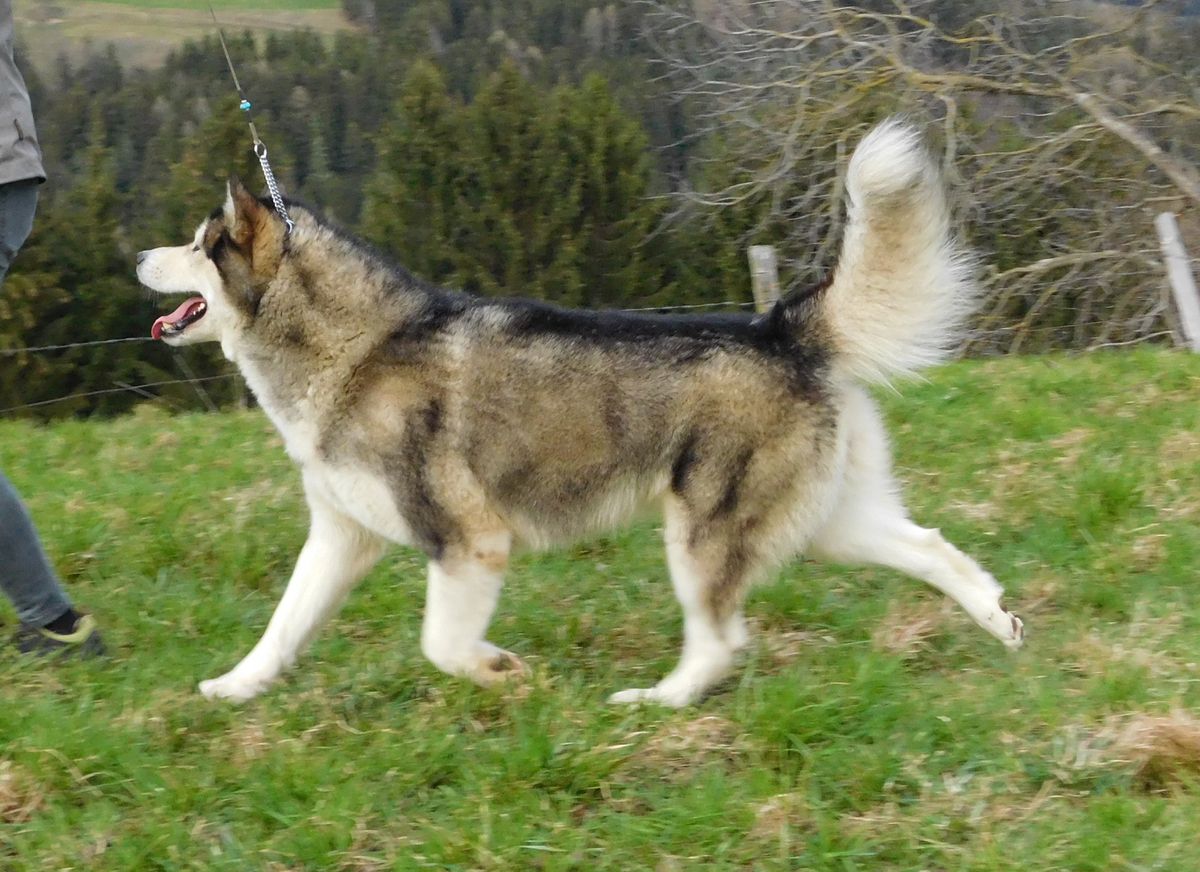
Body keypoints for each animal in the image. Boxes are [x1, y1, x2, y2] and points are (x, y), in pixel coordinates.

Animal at [136, 120, 1023, 707]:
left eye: (196, 244)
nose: (137, 255)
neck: (356, 348)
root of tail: (779, 328)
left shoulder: (470, 543)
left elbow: (441, 644)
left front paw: (499, 671)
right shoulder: (339, 535)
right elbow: (284, 626)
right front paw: (233, 688)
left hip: (703, 534)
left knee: (720, 640)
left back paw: (656, 704)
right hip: (829, 522)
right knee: (934, 548)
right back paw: (1002, 622)